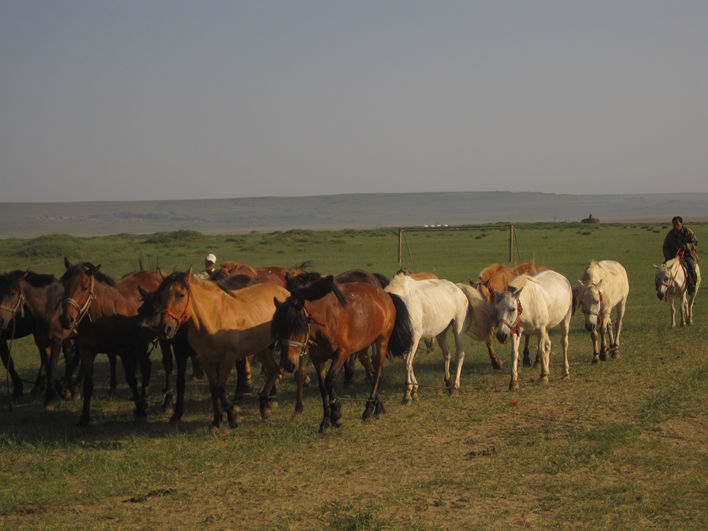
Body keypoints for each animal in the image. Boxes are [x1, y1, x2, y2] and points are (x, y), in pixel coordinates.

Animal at [0, 272, 76, 406]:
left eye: (12, 293)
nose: (1, 319)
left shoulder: (57, 339)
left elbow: (8, 362)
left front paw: (17, 391)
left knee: (68, 354)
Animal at [59, 260, 167, 426]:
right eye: (64, 285)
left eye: (84, 287)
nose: (66, 319)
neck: (101, 315)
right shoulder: (87, 352)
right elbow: (88, 385)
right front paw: (84, 417)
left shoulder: (124, 351)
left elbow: (131, 379)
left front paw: (140, 411)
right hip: (140, 345)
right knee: (146, 366)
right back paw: (144, 400)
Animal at [140, 268, 290, 430]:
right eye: (161, 297)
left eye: (181, 294)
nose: (165, 329)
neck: (213, 319)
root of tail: (285, 292)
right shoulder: (206, 360)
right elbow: (214, 389)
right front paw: (216, 421)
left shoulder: (228, 358)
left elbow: (220, 387)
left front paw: (233, 417)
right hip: (261, 347)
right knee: (273, 369)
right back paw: (264, 407)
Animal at [272, 274, 414, 432]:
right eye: (279, 329)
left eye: (298, 327)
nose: (289, 364)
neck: (326, 320)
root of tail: (386, 295)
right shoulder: (317, 358)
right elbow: (323, 387)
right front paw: (326, 420)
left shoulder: (342, 353)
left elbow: (329, 380)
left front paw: (337, 413)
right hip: (362, 348)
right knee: (372, 373)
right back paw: (378, 408)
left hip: (381, 341)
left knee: (377, 374)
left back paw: (368, 411)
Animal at [382, 274, 470, 404]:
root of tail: (457, 288)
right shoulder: (405, 343)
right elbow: (407, 363)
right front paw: (414, 391)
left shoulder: (414, 339)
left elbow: (407, 364)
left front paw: (407, 395)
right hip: (441, 332)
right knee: (446, 353)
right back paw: (448, 383)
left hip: (458, 327)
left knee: (460, 354)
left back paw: (455, 386)